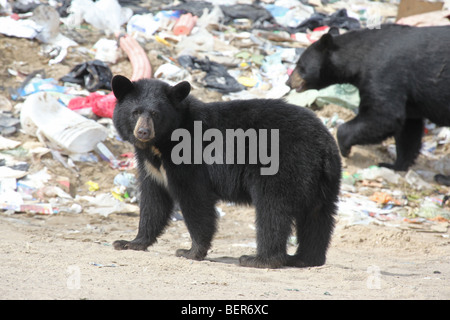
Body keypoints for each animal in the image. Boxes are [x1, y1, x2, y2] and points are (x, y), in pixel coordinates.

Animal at [111, 75, 342, 270]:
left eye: (155, 114)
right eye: (135, 112)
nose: (143, 132)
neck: (160, 144)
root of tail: (324, 144)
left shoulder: (189, 160)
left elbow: (195, 200)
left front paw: (190, 251)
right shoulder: (152, 168)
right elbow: (154, 201)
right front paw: (130, 242)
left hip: (283, 165)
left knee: (272, 209)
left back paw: (259, 259)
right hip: (323, 179)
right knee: (318, 215)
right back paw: (304, 259)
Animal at [288, 24, 450, 172]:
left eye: (300, 65)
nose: (288, 82)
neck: (360, 57)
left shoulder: (385, 73)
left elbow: (383, 117)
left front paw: (344, 148)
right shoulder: (410, 99)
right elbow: (408, 129)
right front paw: (393, 165)